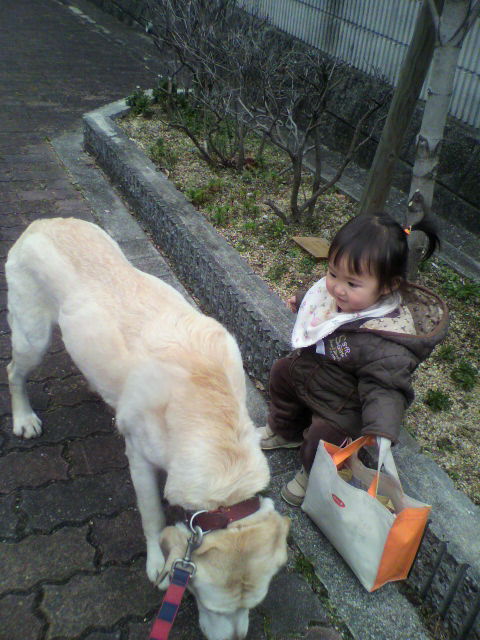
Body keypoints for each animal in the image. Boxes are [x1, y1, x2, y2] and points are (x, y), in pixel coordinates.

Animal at [6, 218, 289, 640]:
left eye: (253, 604)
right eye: (211, 606)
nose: (236, 637)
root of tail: (43, 222)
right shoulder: (139, 457)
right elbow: (152, 515)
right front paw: (158, 563)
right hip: (32, 337)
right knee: (13, 372)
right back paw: (23, 418)